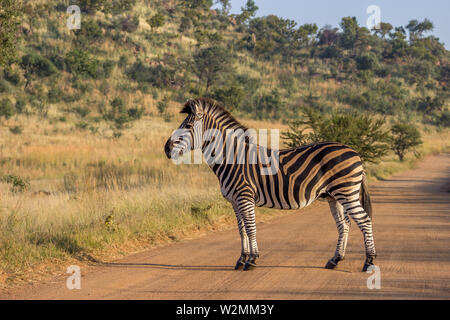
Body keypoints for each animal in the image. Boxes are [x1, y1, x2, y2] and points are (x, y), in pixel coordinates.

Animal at [164, 97, 376, 270]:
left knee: (364, 221)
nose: (166, 148)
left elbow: (250, 227)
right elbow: (241, 229)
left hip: (346, 193)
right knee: (344, 224)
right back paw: (335, 260)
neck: (232, 158)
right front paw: (242, 259)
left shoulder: (245, 197)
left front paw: (252, 260)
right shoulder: (234, 201)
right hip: (334, 196)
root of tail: (355, 152)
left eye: (188, 126)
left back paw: (369, 262)